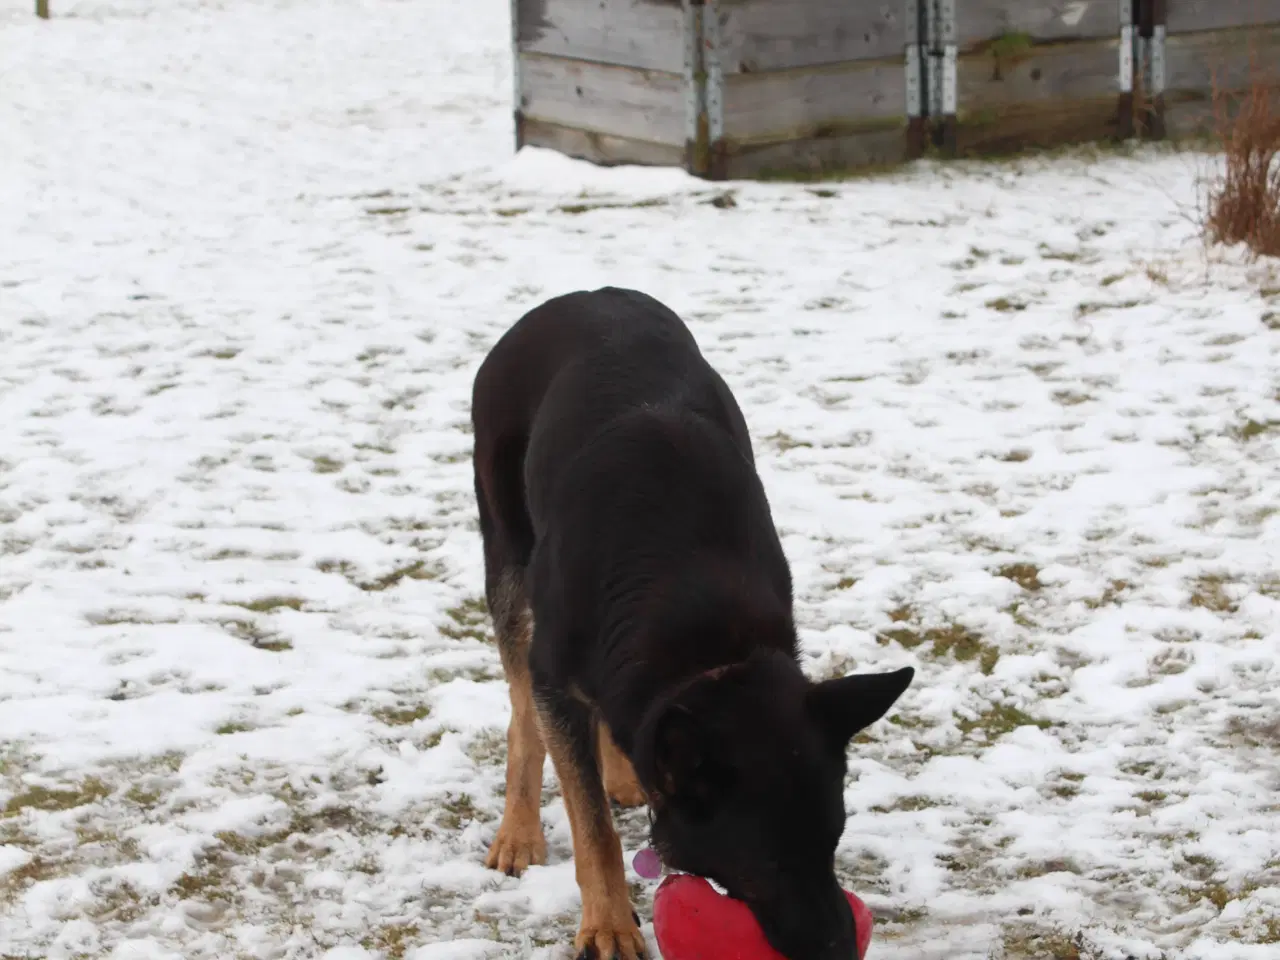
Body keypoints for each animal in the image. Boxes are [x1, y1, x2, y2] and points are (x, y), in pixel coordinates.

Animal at [471, 288, 911, 960]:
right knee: (522, 711)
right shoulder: (555, 676)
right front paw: (608, 926)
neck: (700, 631)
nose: (843, 946)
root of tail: (580, 296)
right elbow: (592, 825)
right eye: (766, 864)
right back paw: (520, 830)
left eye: (832, 841)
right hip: (507, 561)